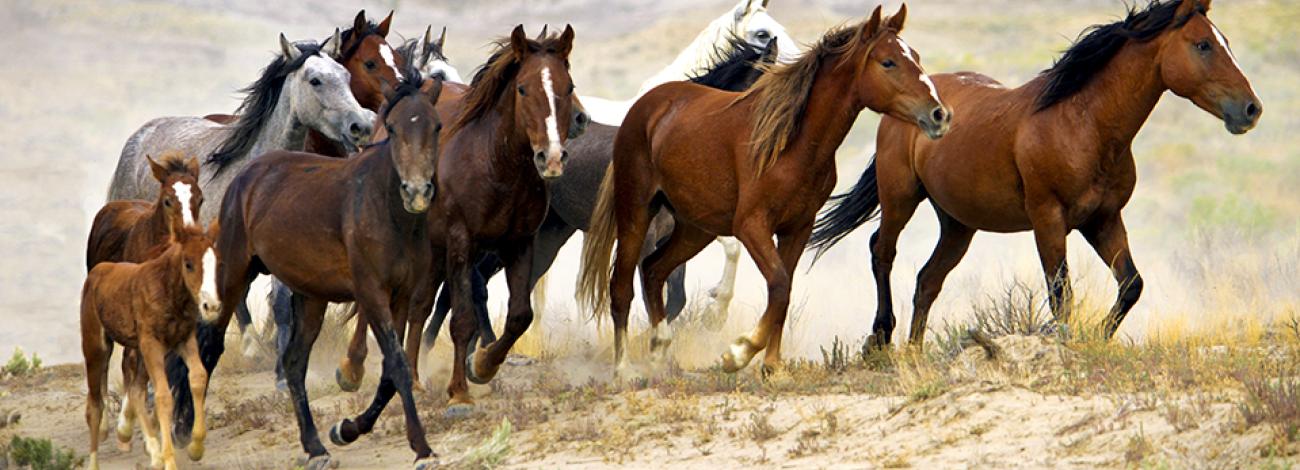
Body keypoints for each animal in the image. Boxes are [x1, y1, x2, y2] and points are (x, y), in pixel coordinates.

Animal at [80, 222, 221, 470]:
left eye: (216, 263)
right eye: (188, 264)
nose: (211, 306)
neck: (168, 291)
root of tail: (96, 273)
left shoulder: (184, 340)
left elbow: (198, 377)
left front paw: (195, 447)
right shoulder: (152, 344)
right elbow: (163, 396)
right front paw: (170, 461)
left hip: (140, 351)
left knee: (136, 390)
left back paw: (154, 453)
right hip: (96, 347)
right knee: (94, 407)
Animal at [211, 67, 443, 469]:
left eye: (437, 126)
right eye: (392, 127)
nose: (416, 191)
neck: (386, 208)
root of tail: (246, 175)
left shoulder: (401, 295)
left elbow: (389, 371)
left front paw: (346, 429)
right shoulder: (372, 294)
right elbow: (397, 364)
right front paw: (421, 448)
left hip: (311, 297)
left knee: (293, 363)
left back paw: (315, 447)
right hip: (234, 276)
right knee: (208, 346)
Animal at [577, 4, 951, 375]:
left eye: (915, 57)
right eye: (888, 62)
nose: (939, 115)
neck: (790, 145)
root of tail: (646, 106)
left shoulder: (797, 228)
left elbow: (782, 292)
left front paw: (772, 366)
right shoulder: (751, 226)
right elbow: (780, 285)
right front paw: (739, 353)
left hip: (694, 228)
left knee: (654, 271)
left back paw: (659, 351)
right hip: (636, 211)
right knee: (621, 286)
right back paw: (624, 368)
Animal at [807, 0, 1261, 347]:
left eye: (1224, 42)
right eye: (1203, 44)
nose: (1251, 110)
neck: (1083, 124)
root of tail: (920, 101)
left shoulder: (1103, 220)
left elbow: (1131, 284)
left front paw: (1098, 338)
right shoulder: (1048, 219)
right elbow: (1062, 296)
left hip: (957, 224)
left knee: (927, 281)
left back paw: (914, 354)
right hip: (900, 197)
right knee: (882, 251)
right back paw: (880, 341)